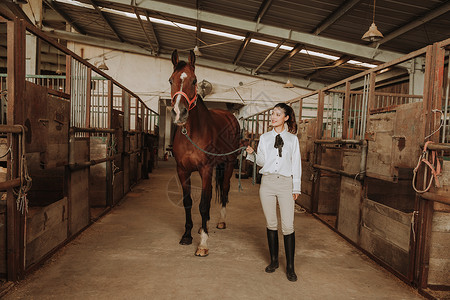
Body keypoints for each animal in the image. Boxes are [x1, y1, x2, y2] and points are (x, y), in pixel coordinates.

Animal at [170, 50, 241, 256]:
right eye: (171, 80)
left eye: (194, 81)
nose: (179, 113)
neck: (192, 132)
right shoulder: (182, 170)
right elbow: (189, 202)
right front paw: (187, 235)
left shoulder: (205, 169)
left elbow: (203, 204)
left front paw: (203, 244)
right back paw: (204, 226)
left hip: (229, 164)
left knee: (224, 190)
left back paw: (220, 222)